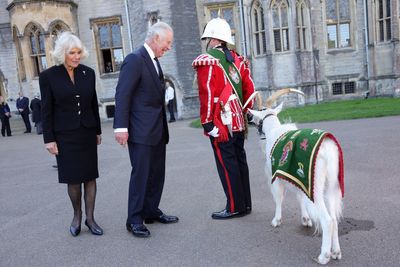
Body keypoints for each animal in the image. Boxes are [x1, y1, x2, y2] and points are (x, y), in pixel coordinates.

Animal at [250, 89, 344, 264]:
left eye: (259, 117)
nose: (250, 119)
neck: (274, 129)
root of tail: (327, 150)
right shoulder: (297, 176)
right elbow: (300, 196)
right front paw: (305, 219)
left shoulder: (276, 175)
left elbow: (278, 198)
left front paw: (276, 220)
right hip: (332, 183)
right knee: (334, 218)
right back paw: (335, 252)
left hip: (316, 186)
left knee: (327, 220)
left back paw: (324, 256)